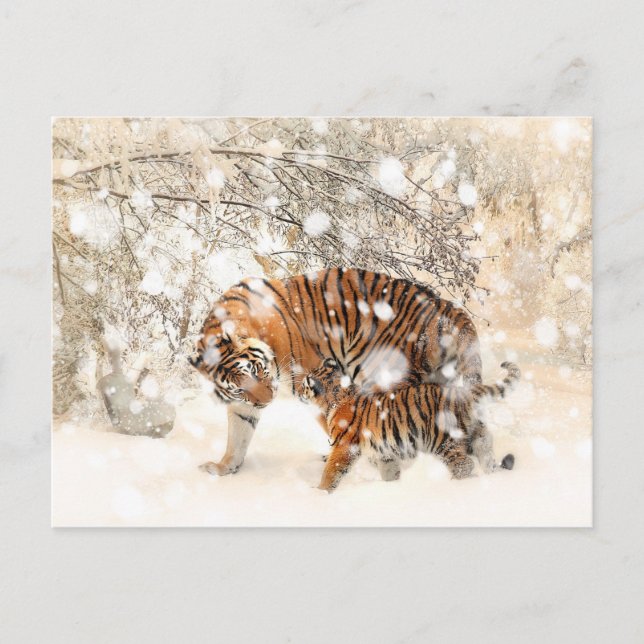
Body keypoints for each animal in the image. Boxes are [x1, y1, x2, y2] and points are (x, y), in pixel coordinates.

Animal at [189, 268, 484, 476]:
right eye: (239, 387)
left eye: (258, 370)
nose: (267, 401)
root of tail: (446, 307)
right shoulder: (243, 405)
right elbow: (237, 437)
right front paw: (223, 468)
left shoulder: (312, 379)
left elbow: (336, 424)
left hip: (385, 376)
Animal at [298, 358, 520, 492]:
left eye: (304, 385)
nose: (298, 392)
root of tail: (462, 393)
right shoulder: (384, 452)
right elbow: (389, 471)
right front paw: (392, 487)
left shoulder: (344, 447)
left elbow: (331, 472)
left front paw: (320, 493)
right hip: (478, 435)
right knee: (486, 456)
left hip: (442, 441)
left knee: (464, 465)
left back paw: (452, 486)